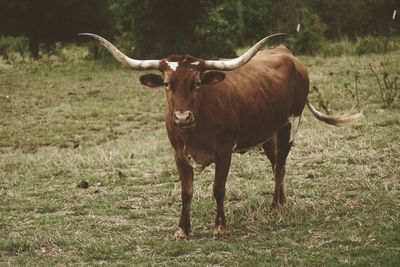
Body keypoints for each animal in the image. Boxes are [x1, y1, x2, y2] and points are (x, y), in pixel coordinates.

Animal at [79, 32, 360, 240]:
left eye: (197, 83)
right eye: (167, 84)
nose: (182, 117)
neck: (196, 126)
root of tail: (286, 53)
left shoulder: (224, 152)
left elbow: (218, 189)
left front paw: (220, 227)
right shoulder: (179, 155)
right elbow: (186, 192)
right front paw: (182, 229)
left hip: (291, 122)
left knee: (280, 166)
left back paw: (274, 208)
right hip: (267, 132)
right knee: (276, 164)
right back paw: (282, 202)